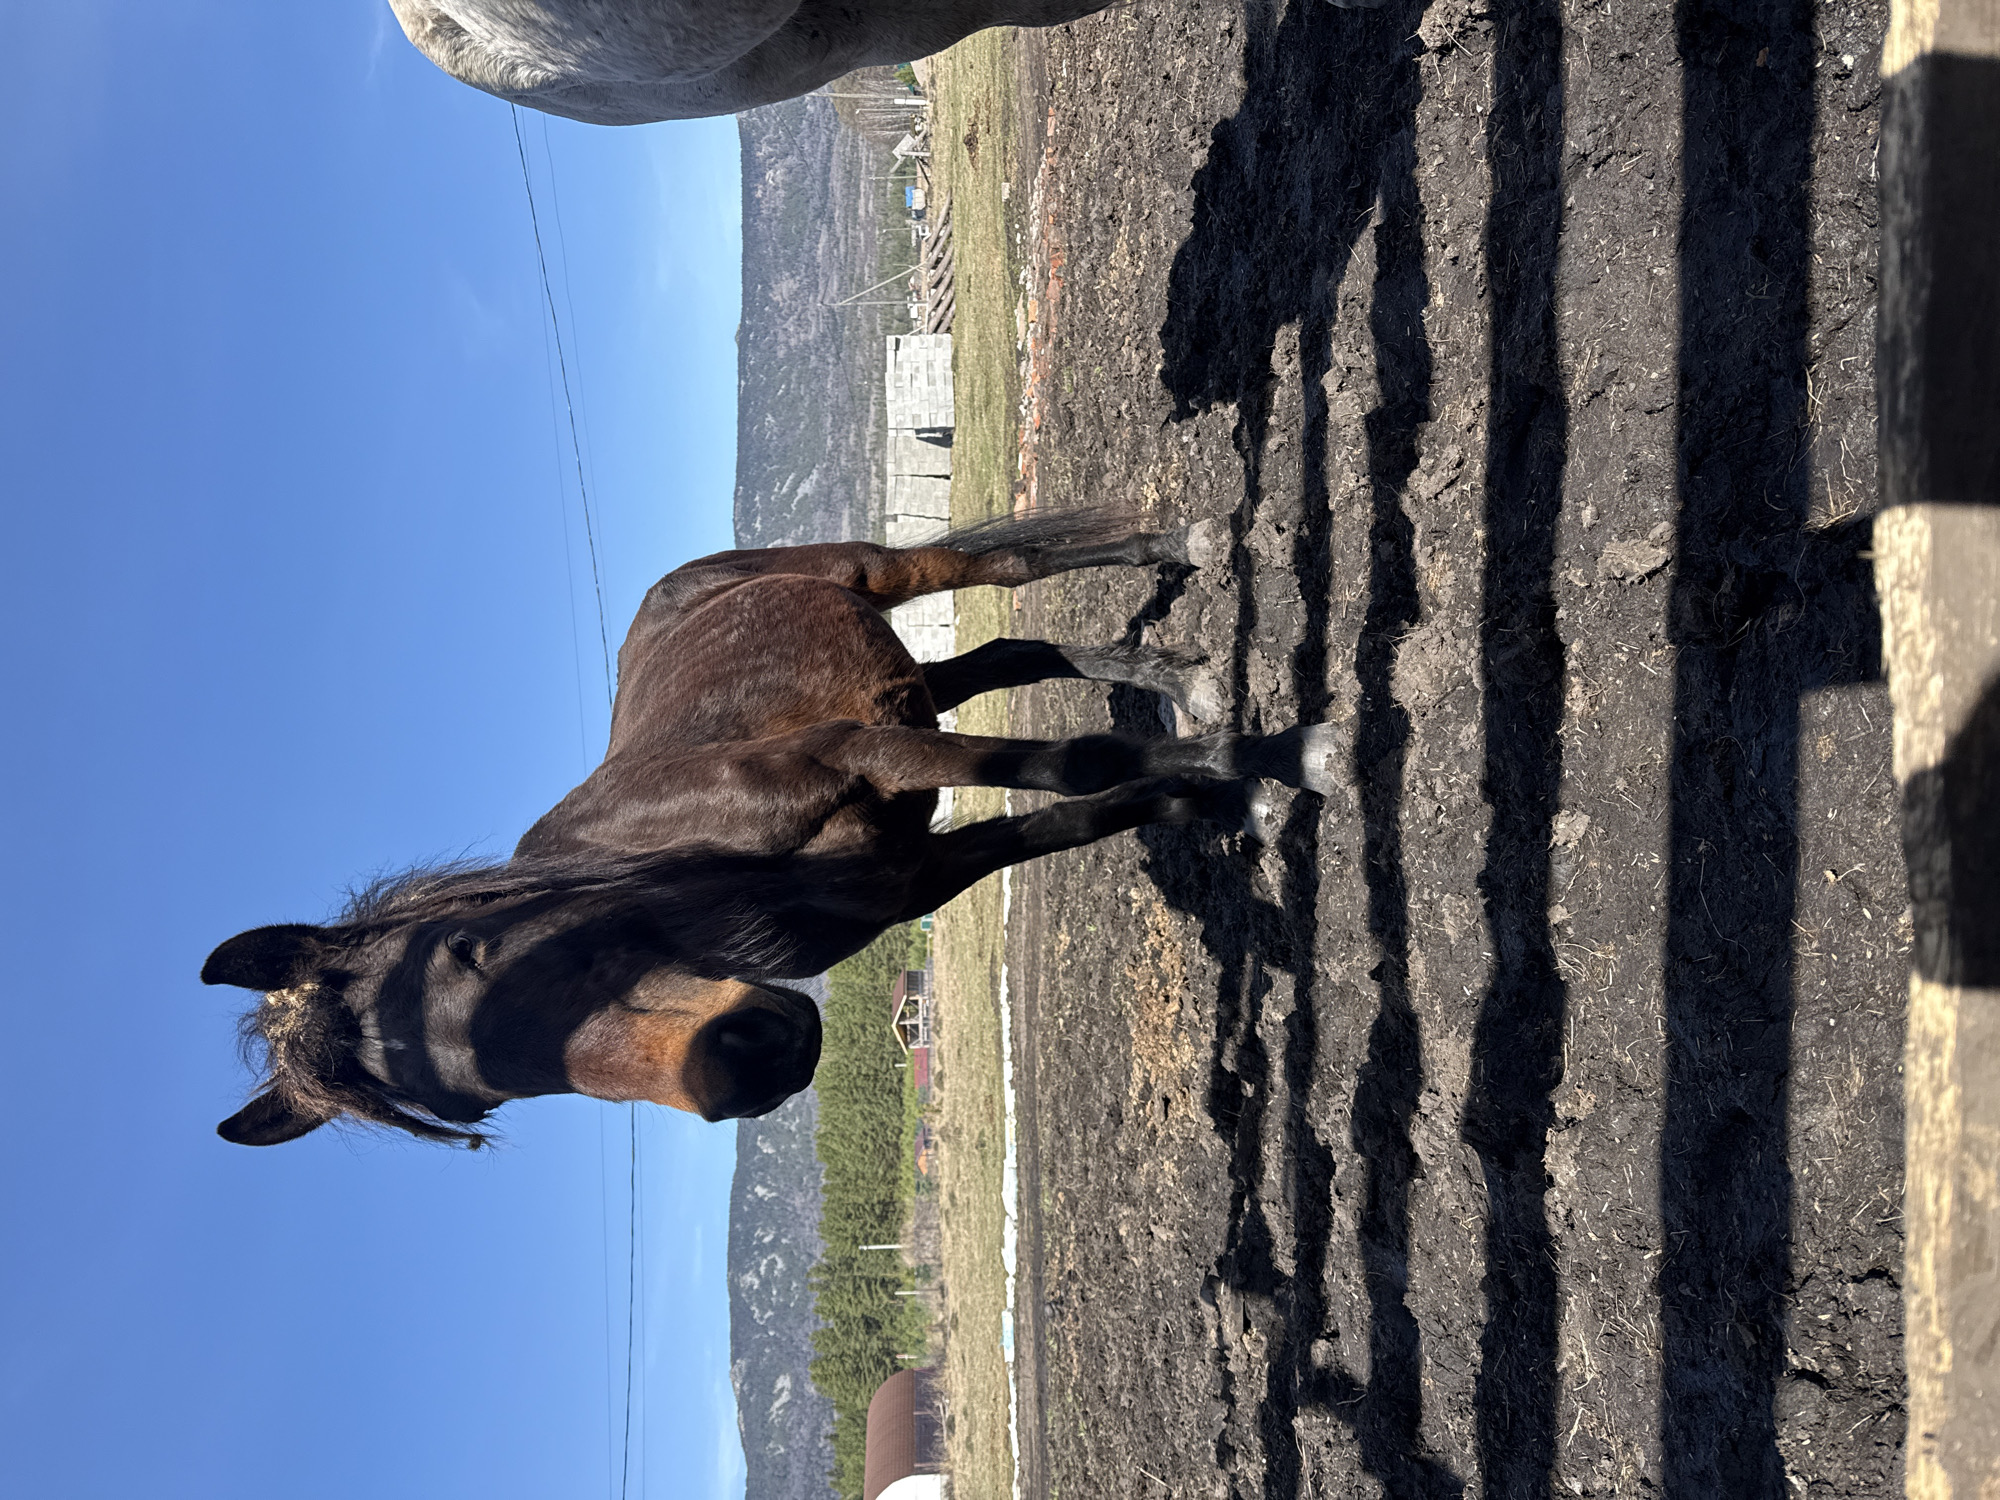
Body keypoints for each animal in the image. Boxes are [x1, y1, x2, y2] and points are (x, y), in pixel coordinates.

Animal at [201, 512, 1340, 1147]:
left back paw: (1179, 546)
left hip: (870, 578)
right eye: (478, 1109)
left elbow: (1073, 767)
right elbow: (1077, 811)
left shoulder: (870, 756)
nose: (746, 1065)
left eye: (471, 948)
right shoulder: (917, 870)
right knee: (1013, 651)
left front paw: (1291, 758)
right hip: (907, 680)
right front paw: (1212, 795)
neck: (686, 876)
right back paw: (1179, 676)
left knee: (1000, 570)